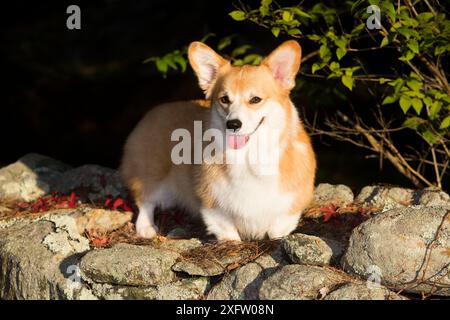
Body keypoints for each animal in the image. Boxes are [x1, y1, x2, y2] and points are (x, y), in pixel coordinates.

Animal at [120, 39, 316, 240]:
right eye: (224, 99)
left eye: (255, 99)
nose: (233, 124)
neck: (248, 156)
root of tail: (152, 111)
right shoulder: (213, 206)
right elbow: (228, 232)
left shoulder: (289, 206)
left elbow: (278, 227)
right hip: (153, 178)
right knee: (145, 201)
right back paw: (146, 228)